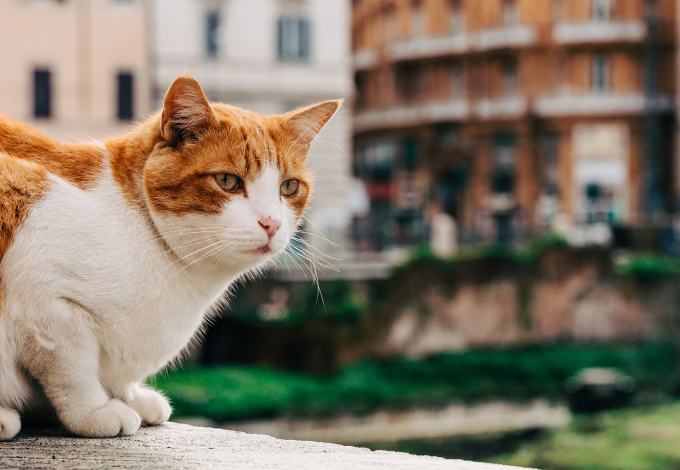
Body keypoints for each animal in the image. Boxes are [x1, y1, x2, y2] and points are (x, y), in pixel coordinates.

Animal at [0, 75, 340, 438]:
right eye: (227, 181)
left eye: (289, 187)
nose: (272, 223)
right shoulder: (45, 301)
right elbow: (73, 369)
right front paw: (95, 411)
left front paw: (132, 397)